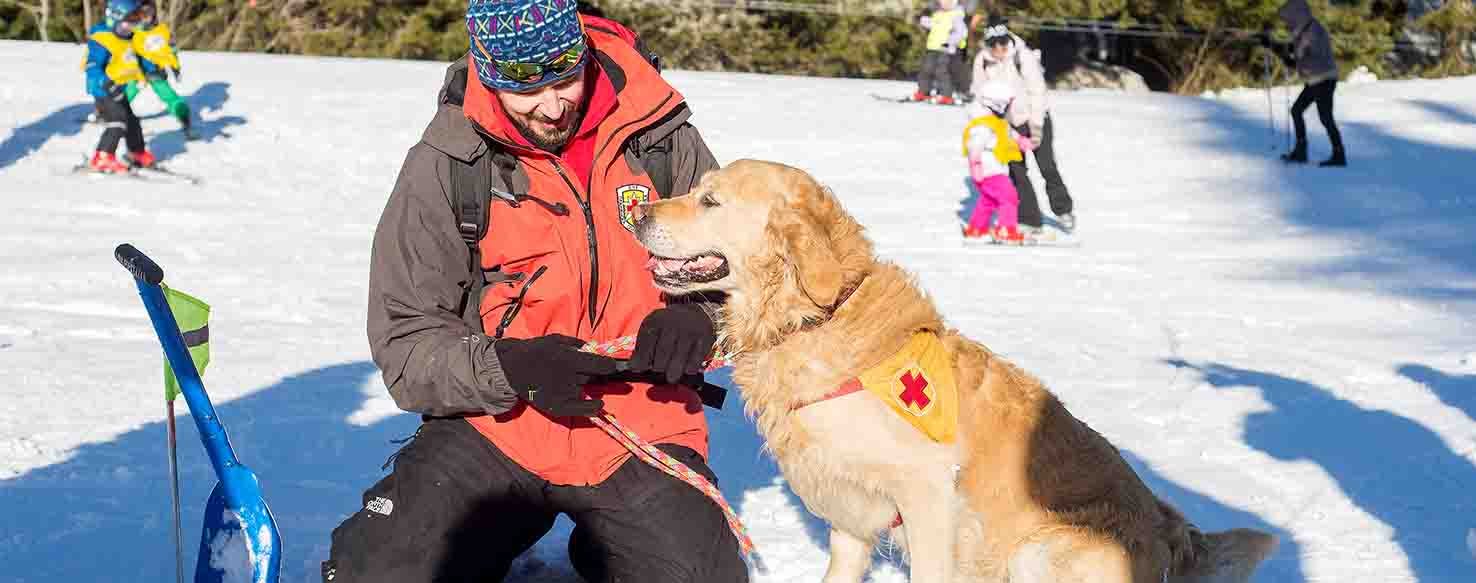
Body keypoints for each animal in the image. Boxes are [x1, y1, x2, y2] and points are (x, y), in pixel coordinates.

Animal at [628, 157, 1275, 581]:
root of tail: (1172, 538)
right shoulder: (851, 511)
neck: (813, 320)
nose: (637, 213)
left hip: (1043, 548)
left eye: (710, 200)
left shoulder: (930, 498)